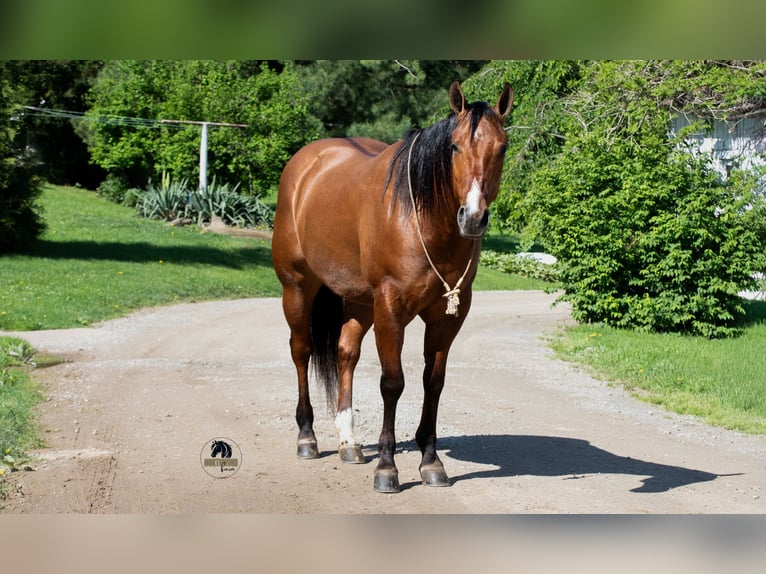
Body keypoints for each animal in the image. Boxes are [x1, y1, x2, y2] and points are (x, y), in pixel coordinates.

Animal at [272, 81, 513, 493]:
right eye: (454, 146)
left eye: (502, 148)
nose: (473, 217)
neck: (422, 220)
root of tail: (304, 164)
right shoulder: (391, 306)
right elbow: (392, 382)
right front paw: (387, 467)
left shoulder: (448, 315)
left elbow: (433, 382)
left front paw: (431, 461)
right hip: (299, 288)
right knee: (301, 351)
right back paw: (307, 437)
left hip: (360, 302)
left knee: (346, 353)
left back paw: (349, 443)